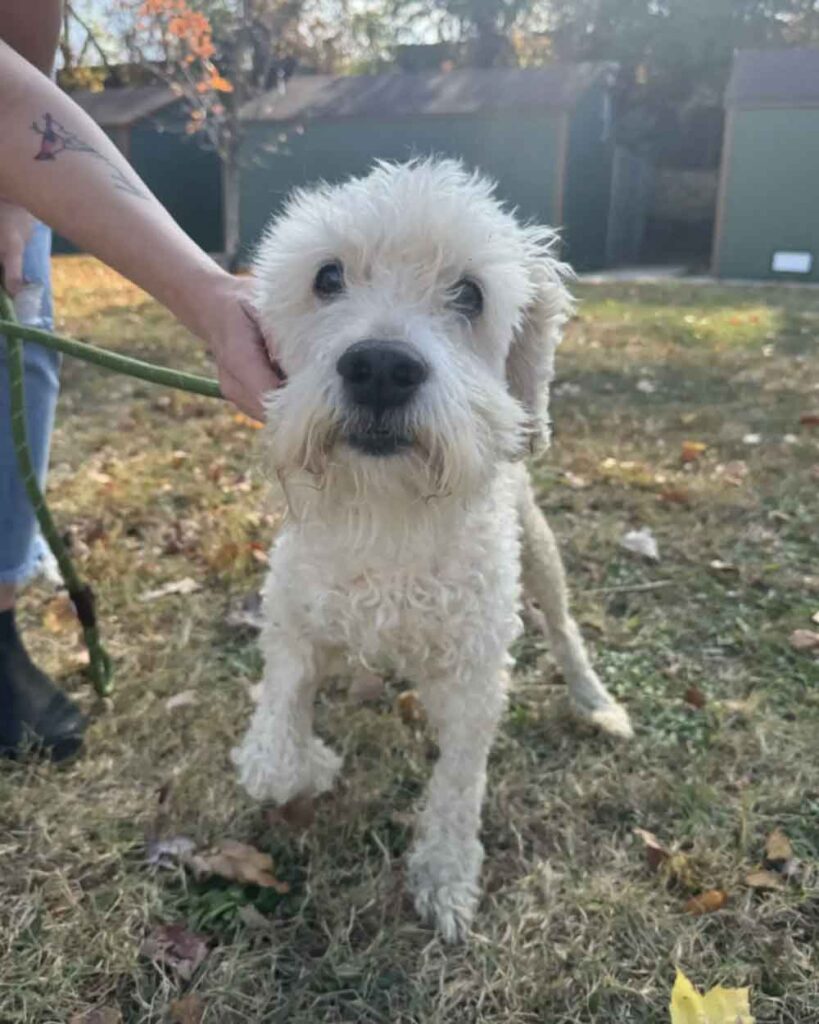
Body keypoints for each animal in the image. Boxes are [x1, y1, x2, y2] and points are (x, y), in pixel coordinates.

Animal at [232, 157, 634, 942]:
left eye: (470, 293)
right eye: (327, 277)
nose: (381, 368)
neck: (391, 520)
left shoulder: (476, 677)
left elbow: (458, 783)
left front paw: (445, 874)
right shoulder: (293, 619)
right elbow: (274, 746)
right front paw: (307, 761)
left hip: (542, 556)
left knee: (565, 629)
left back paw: (595, 700)